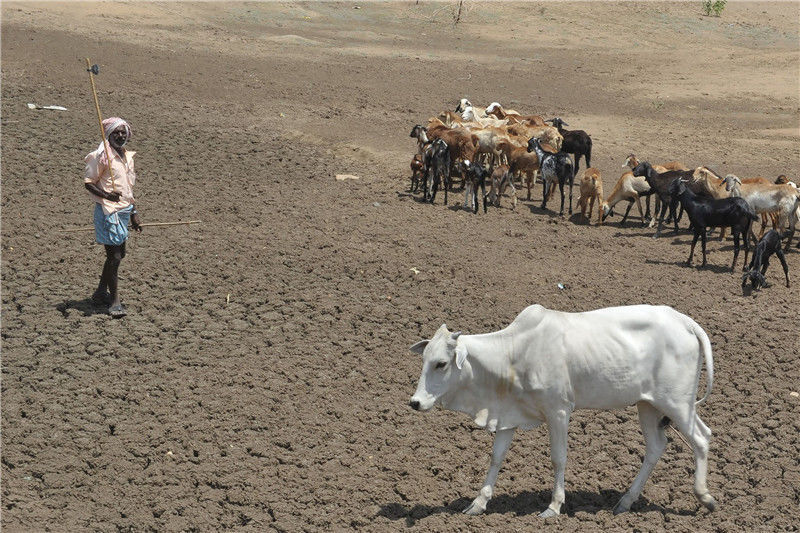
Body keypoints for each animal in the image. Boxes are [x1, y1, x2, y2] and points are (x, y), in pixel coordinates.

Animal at [408, 304, 716, 517]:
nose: (415, 402)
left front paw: (554, 507)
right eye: (424, 360)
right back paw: (625, 502)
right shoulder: (508, 415)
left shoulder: (557, 411)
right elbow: (496, 458)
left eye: (441, 364)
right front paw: (478, 503)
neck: (514, 353)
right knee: (656, 446)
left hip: (677, 402)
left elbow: (558, 458)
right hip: (647, 405)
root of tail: (684, 321)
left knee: (702, 438)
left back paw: (705, 497)